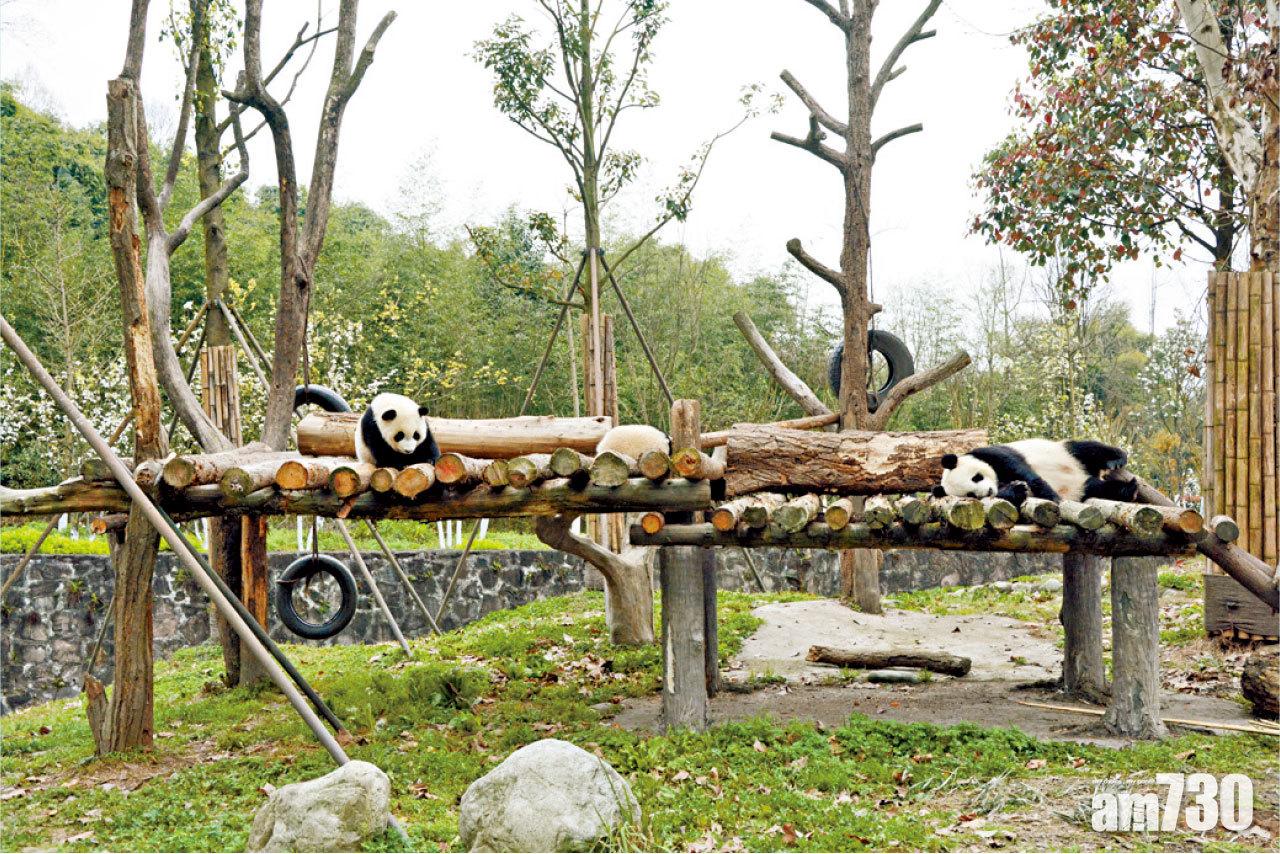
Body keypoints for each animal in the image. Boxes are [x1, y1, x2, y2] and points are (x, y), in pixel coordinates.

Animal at [932, 439, 1139, 506]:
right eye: (971, 495)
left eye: (976, 477)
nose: (988, 491)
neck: (998, 479)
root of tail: (1089, 474)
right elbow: (1010, 493)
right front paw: (1016, 490)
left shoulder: (990, 453)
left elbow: (1017, 466)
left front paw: (1050, 495)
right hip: (1081, 488)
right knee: (1098, 488)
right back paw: (1126, 490)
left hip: (1065, 452)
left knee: (1087, 449)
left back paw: (1117, 459)